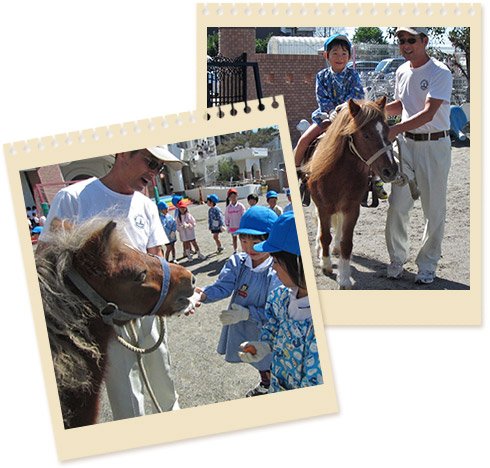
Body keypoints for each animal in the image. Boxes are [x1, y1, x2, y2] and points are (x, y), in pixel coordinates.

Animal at [306, 98, 398, 288]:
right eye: (366, 135)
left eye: (387, 131)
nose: (391, 170)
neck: (338, 172)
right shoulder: (323, 207)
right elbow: (324, 236)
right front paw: (326, 265)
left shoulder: (351, 208)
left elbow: (346, 242)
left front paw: (344, 277)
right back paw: (320, 250)